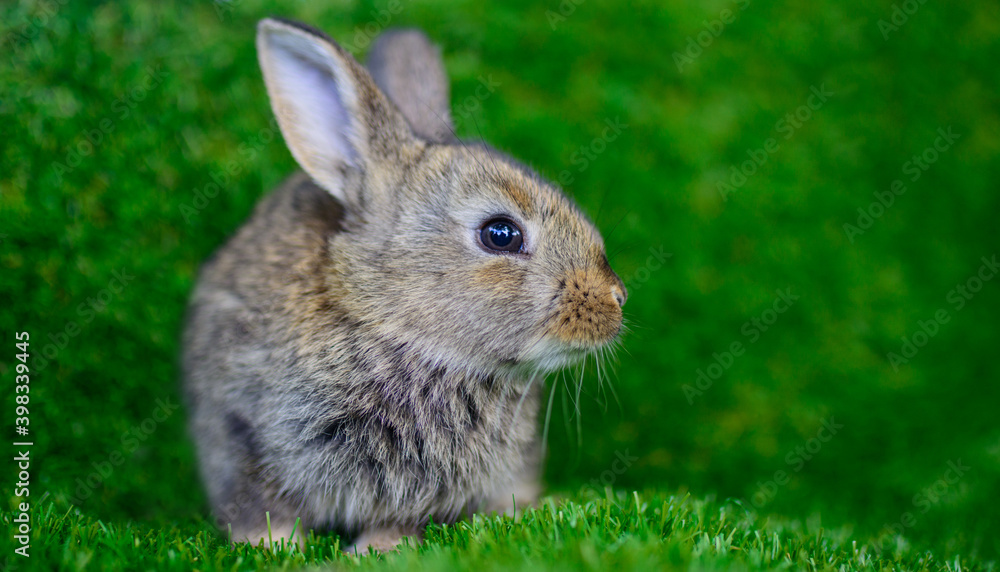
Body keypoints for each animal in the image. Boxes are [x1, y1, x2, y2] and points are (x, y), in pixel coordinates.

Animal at [181, 16, 627, 553]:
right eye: (501, 234)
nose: (616, 299)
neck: (389, 326)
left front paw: (376, 549)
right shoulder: (239, 432)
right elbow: (260, 504)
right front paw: (272, 545)